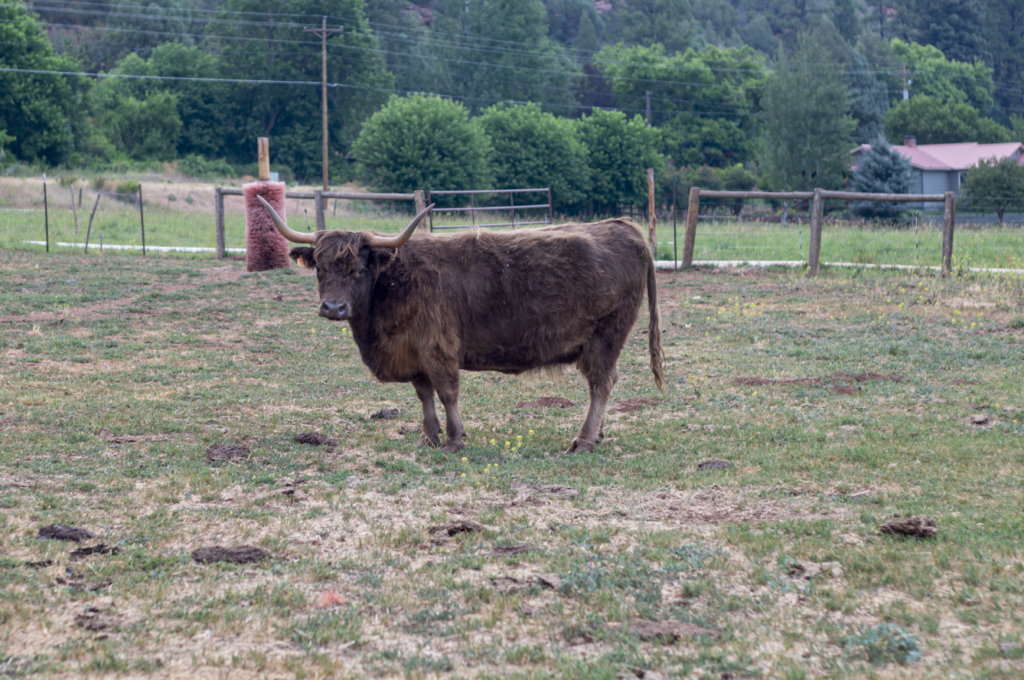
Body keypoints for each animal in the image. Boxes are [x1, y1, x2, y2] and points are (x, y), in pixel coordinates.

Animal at [257, 196, 664, 454]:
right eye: (320, 270)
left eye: (358, 269)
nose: (333, 307)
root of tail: (624, 228)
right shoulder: (414, 354)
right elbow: (424, 395)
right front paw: (429, 436)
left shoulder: (438, 349)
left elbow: (447, 391)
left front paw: (454, 439)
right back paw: (599, 433)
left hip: (606, 338)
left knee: (601, 383)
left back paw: (584, 440)